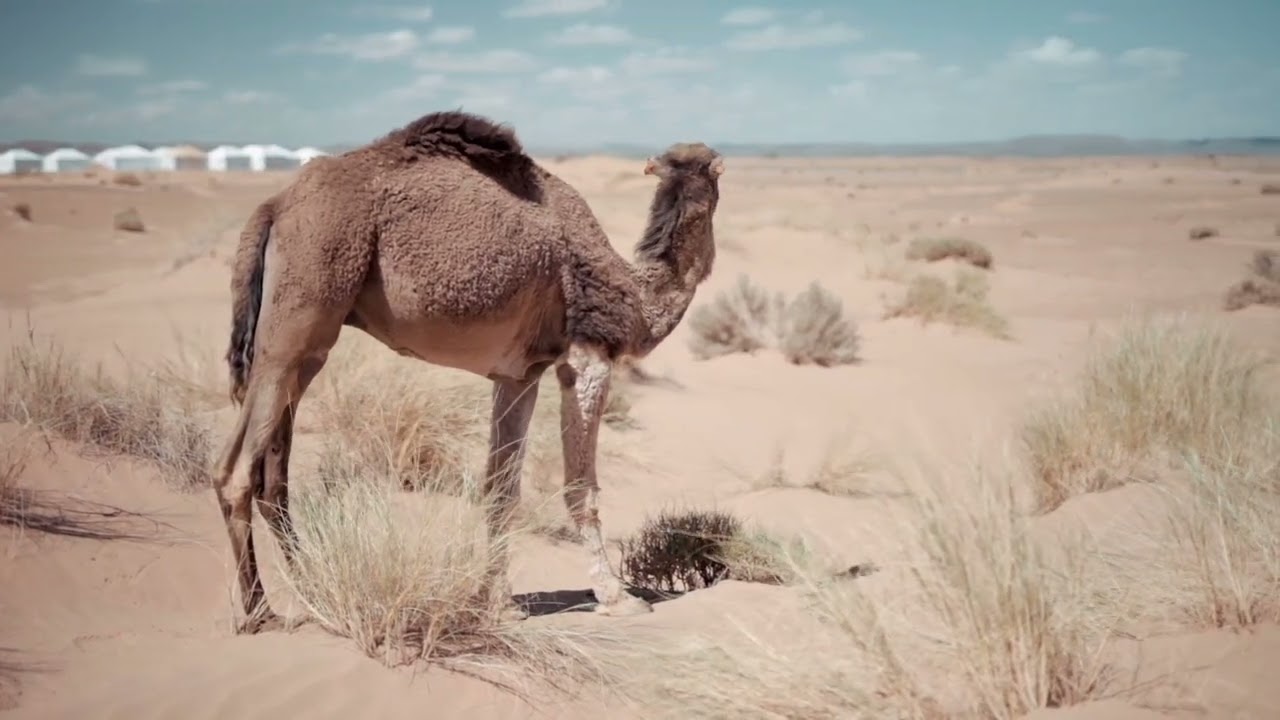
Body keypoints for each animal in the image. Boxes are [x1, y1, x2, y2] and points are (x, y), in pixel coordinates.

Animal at [215, 109, 723, 632]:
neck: (635, 295)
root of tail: (274, 206)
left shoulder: (519, 374)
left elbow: (501, 488)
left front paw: (497, 604)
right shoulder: (588, 357)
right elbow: (581, 487)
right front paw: (618, 598)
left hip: (306, 337)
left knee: (273, 476)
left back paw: (311, 592)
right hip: (304, 300)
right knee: (235, 472)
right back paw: (259, 613)